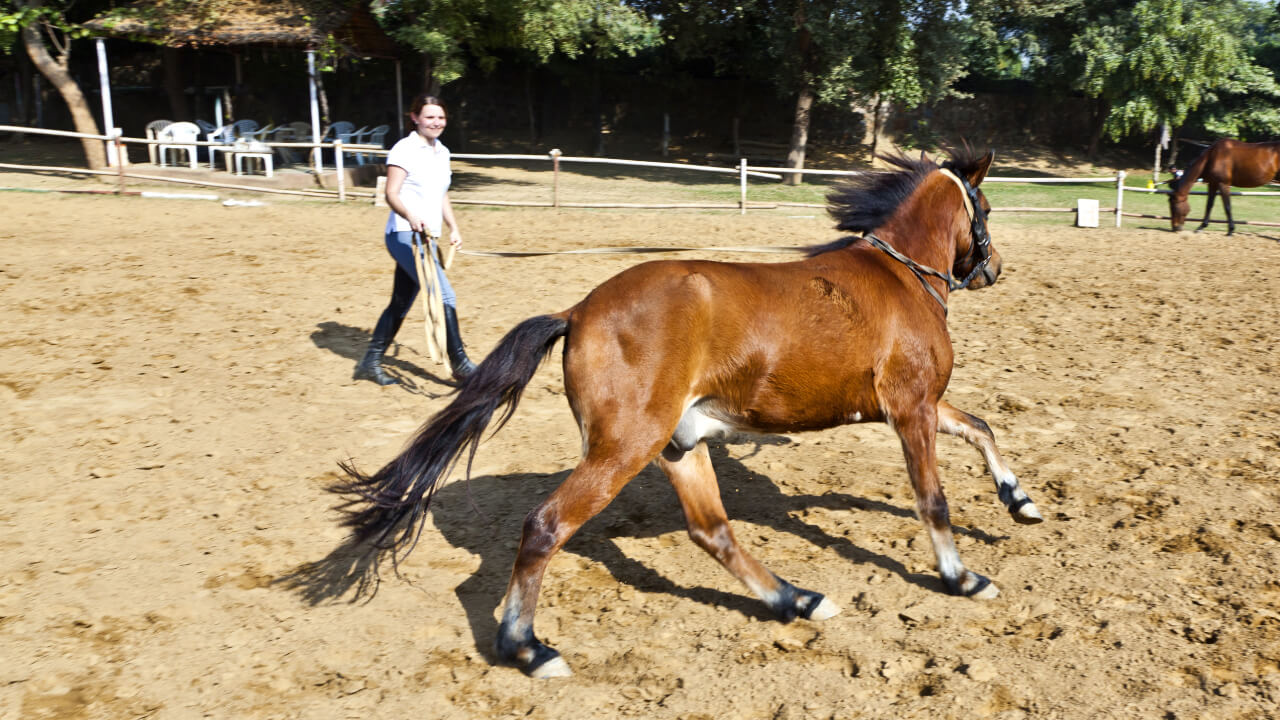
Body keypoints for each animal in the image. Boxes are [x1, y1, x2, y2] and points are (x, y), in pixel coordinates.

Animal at [330, 147, 1039, 676]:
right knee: (544, 527)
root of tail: (578, 312)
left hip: (680, 442)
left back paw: (796, 598)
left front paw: (1020, 502)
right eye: (986, 208)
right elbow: (932, 499)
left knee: (711, 531)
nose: (996, 267)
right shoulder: (911, 409)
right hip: (627, 446)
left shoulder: (918, 406)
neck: (902, 277)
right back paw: (527, 648)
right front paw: (962, 577)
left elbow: (982, 427)